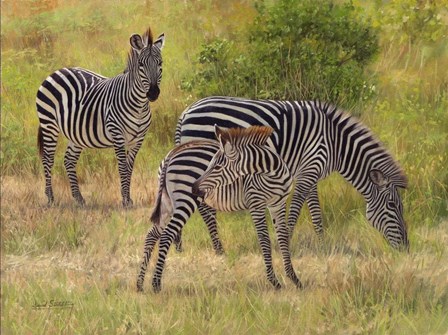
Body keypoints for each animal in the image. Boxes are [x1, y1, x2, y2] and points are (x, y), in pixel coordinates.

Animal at [35, 26, 164, 207]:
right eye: (141, 64)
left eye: (160, 63)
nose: (153, 93)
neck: (138, 106)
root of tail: (57, 71)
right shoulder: (117, 135)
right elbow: (122, 167)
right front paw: (125, 200)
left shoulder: (138, 139)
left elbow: (129, 167)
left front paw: (128, 198)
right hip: (49, 124)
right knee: (48, 159)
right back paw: (50, 198)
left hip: (76, 133)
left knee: (68, 160)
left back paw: (79, 198)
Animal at [136, 126, 302, 294]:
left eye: (216, 167)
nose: (194, 188)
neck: (273, 174)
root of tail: (171, 154)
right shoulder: (256, 204)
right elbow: (264, 239)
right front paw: (275, 282)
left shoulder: (278, 204)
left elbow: (283, 238)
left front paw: (294, 279)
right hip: (185, 200)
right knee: (166, 235)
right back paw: (156, 284)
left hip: (168, 202)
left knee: (151, 235)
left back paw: (140, 284)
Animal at [175, 96, 410, 251]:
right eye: (392, 205)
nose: (406, 247)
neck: (335, 143)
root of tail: (186, 112)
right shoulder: (309, 169)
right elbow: (297, 207)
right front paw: (285, 243)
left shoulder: (311, 170)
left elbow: (315, 210)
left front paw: (322, 244)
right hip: (203, 159)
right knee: (203, 206)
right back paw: (219, 248)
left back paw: (183, 246)